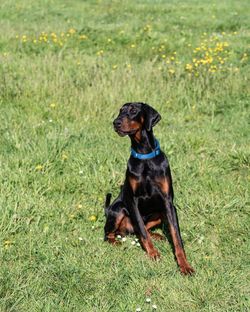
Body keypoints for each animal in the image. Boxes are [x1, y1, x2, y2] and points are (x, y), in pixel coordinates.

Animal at [104, 103, 194, 276]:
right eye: (120, 111)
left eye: (133, 111)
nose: (115, 123)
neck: (144, 155)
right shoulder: (132, 201)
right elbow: (142, 232)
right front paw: (153, 254)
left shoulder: (168, 202)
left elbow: (176, 237)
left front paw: (185, 266)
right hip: (118, 209)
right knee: (110, 234)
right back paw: (117, 242)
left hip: (159, 212)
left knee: (142, 229)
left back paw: (158, 236)